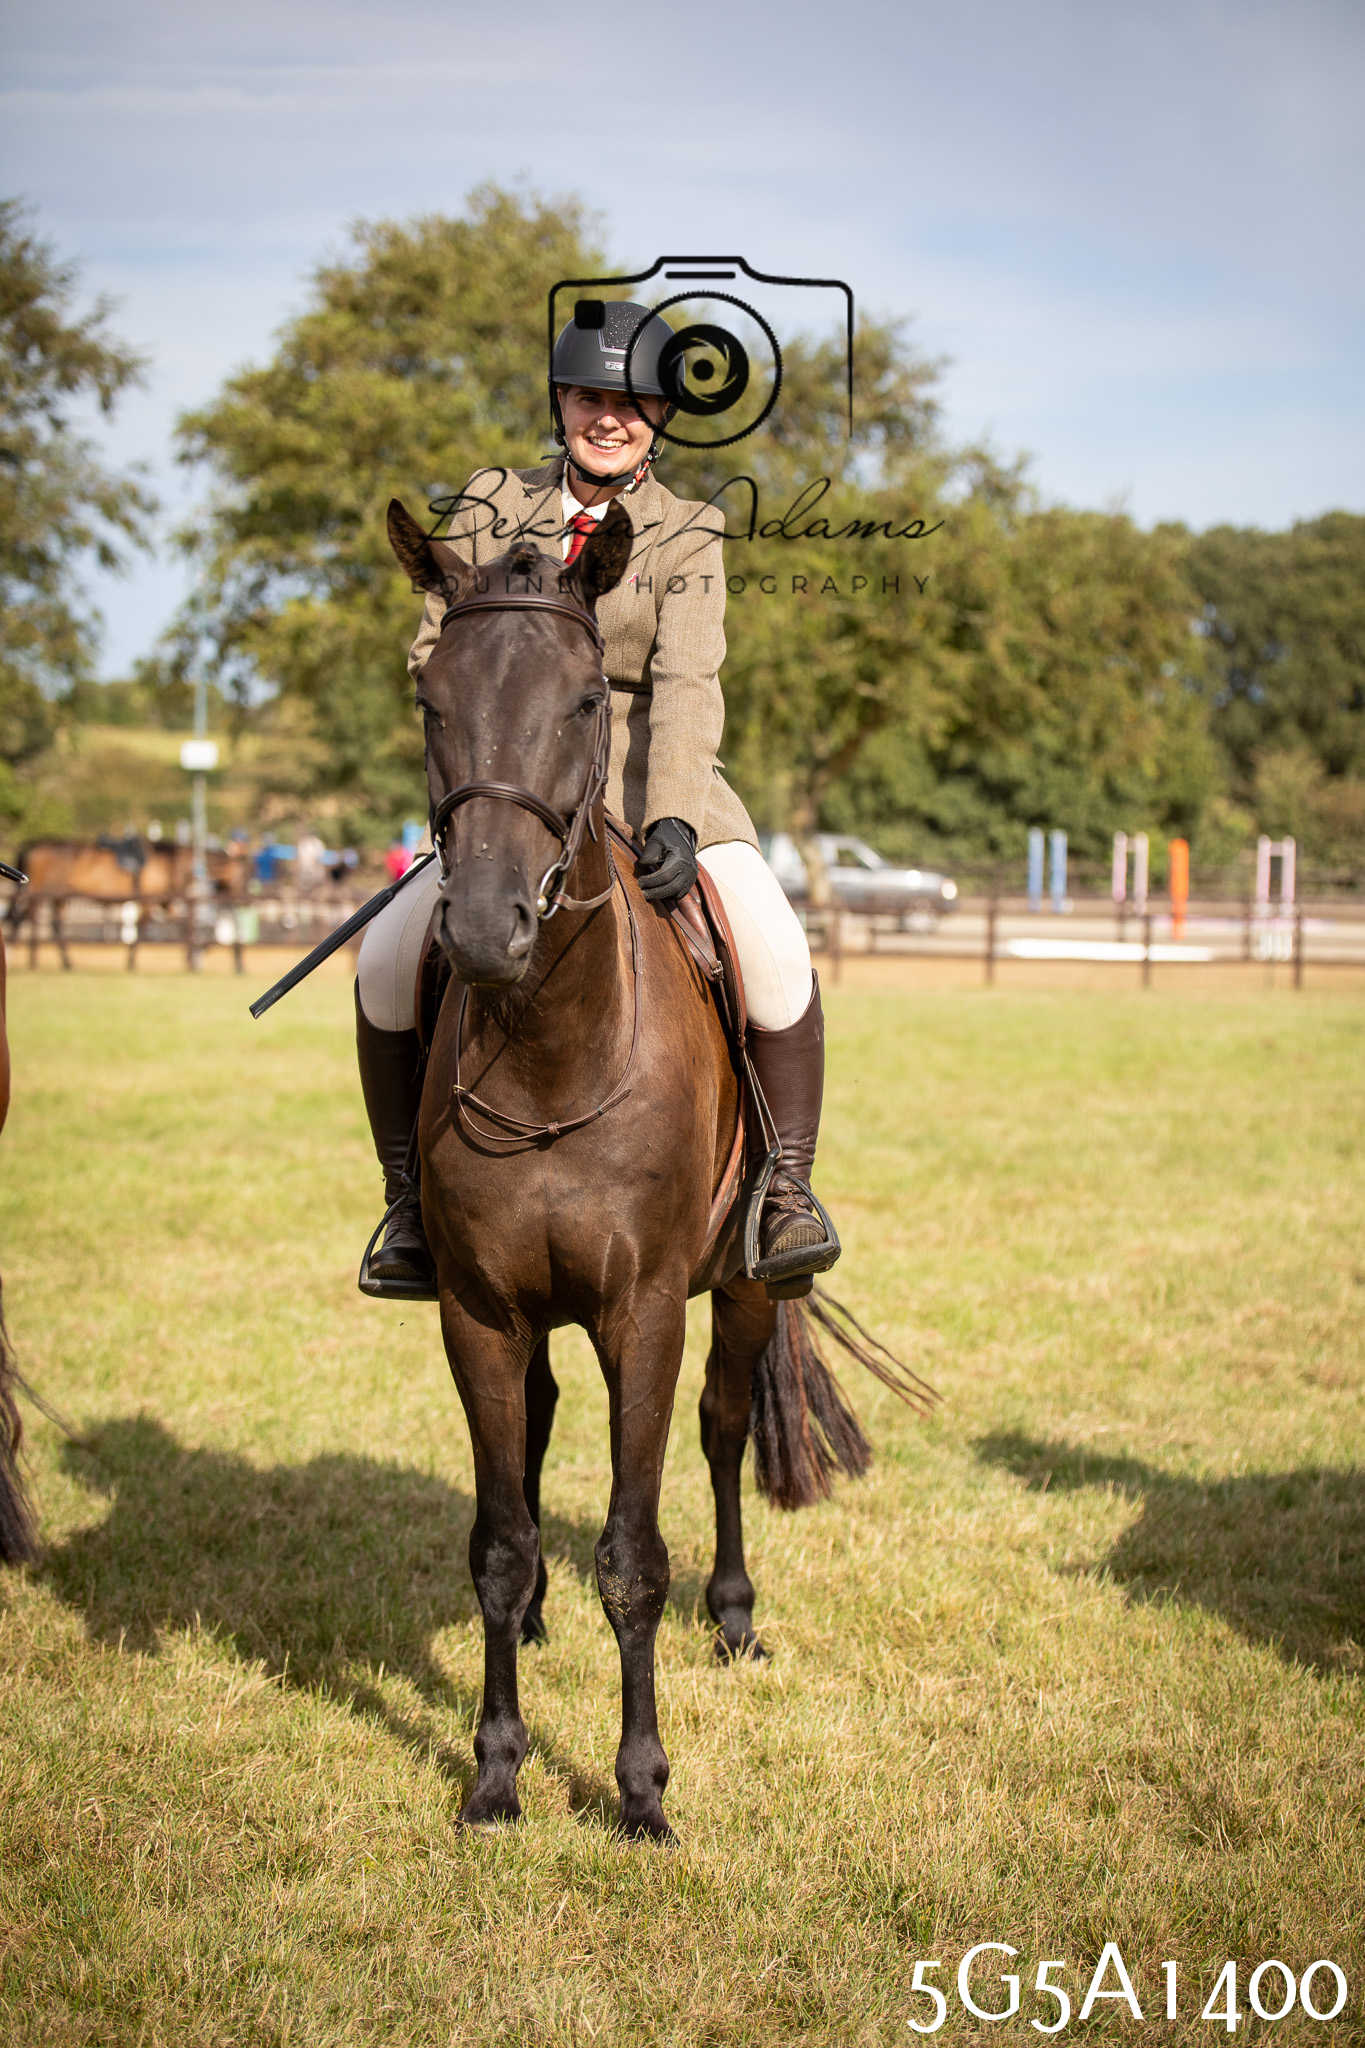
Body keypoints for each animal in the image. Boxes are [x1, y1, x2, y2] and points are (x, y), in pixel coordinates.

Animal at [5, 839, 246, 969]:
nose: (239, 898)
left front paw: (196, 953)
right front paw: (131, 963)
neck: (171, 864)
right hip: (43, 893)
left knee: (46, 922)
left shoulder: (164, 903)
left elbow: (184, 924)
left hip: (58, 896)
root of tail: (34, 845)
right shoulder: (149, 901)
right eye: (242, 874)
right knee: (28, 919)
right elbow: (143, 929)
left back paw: (64, 962)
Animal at [385, 498, 932, 1840]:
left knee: (724, 1430)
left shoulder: (643, 1311)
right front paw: (495, 1773)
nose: (483, 928)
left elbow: (635, 1556)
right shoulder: (478, 1311)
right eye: (430, 695)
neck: (548, 1045)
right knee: (537, 1432)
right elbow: (498, 1543)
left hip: (734, 1289)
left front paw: (639, 1790)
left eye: (589, 697)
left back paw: (734, 1617)